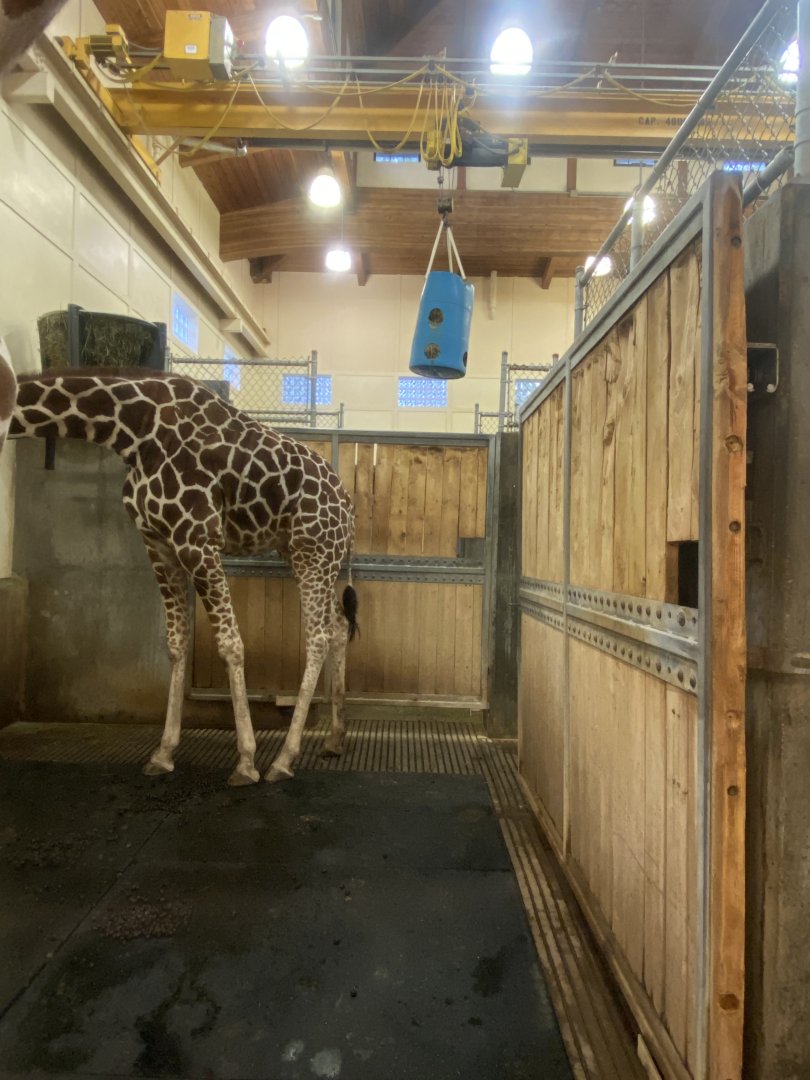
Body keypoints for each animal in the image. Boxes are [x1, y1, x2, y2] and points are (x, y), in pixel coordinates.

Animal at [7, 365, 358, 786]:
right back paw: (335, 739)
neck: (131, 429)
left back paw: (283, 759)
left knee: (318, 635)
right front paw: (163, 753)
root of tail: (348, 507)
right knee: (338, 626)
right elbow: (176, 645)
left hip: (313, 552)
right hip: (305, 554)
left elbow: (230, 643)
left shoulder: (196, 539)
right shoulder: (157, 542)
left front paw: (246, 761)